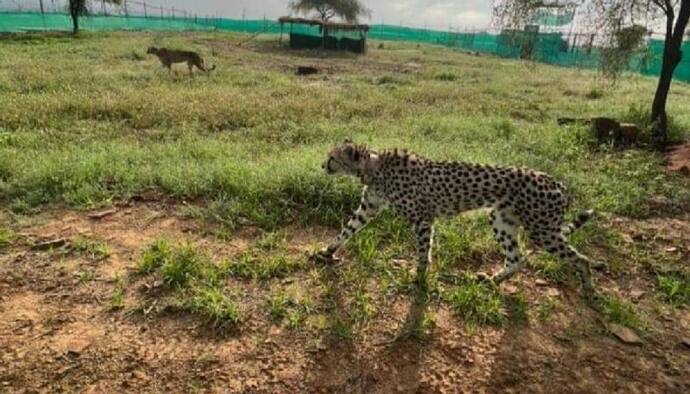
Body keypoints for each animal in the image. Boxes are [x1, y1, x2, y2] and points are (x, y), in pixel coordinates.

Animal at [312, 141, 596, 296]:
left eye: (332, 158)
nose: (323, 166)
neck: (373, 168)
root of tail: (558, 184)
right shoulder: (367, 208)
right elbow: (346, 230)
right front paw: (326, 251)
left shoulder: (423, 219)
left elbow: (423, 251)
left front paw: (419, 279)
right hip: (501, 219)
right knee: (517, 259)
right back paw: (492, 281)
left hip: (541, 230)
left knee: (581, 259)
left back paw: (589, 290)